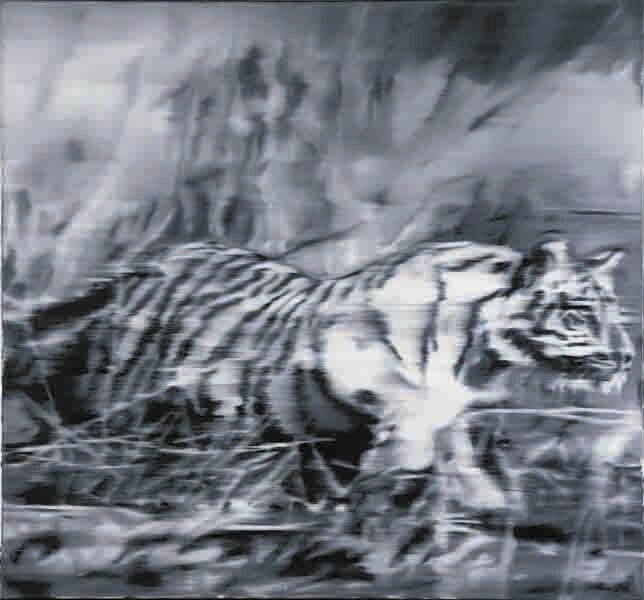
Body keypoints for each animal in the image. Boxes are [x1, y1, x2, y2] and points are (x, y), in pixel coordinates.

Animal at [4, 238, 634, 520]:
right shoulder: (370, 373)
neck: (478, 355)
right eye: (579, 312)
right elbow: (409, 427)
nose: (628, 359)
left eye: (614, 311)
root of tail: (138, 268)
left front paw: (488, 504)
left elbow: (461, 457)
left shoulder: (452, 415)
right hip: (129, 401)